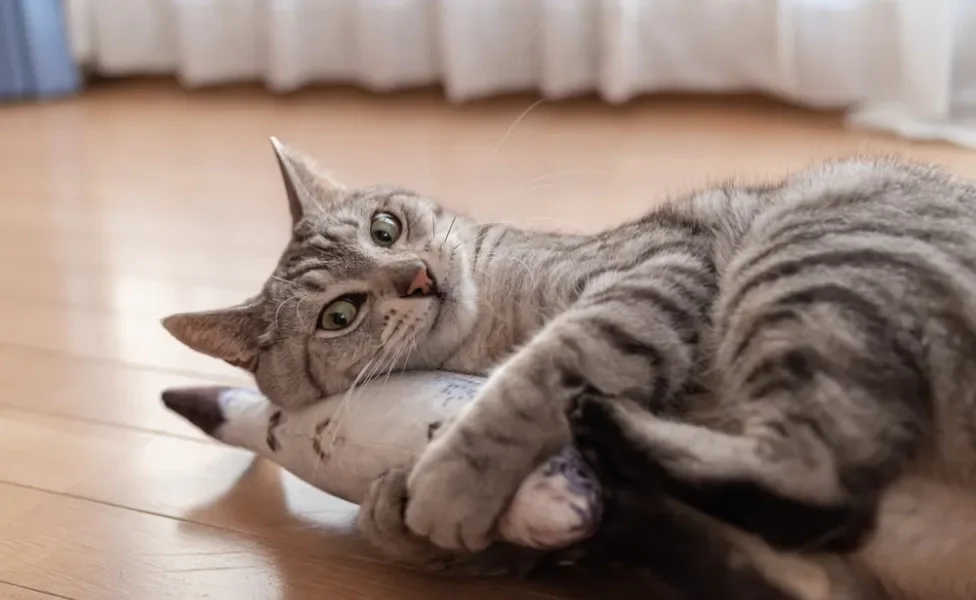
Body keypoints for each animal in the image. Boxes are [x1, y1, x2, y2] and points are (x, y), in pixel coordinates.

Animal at [164, 142, 976, 600]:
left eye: (385, 228)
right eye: (339, 314)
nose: (418, 277)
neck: (495, 324)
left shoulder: (655, 271)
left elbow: (548, 364)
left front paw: (449, 480)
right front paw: (395, 512)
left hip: (814, 257)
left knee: (822, 483)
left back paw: (610, 423)